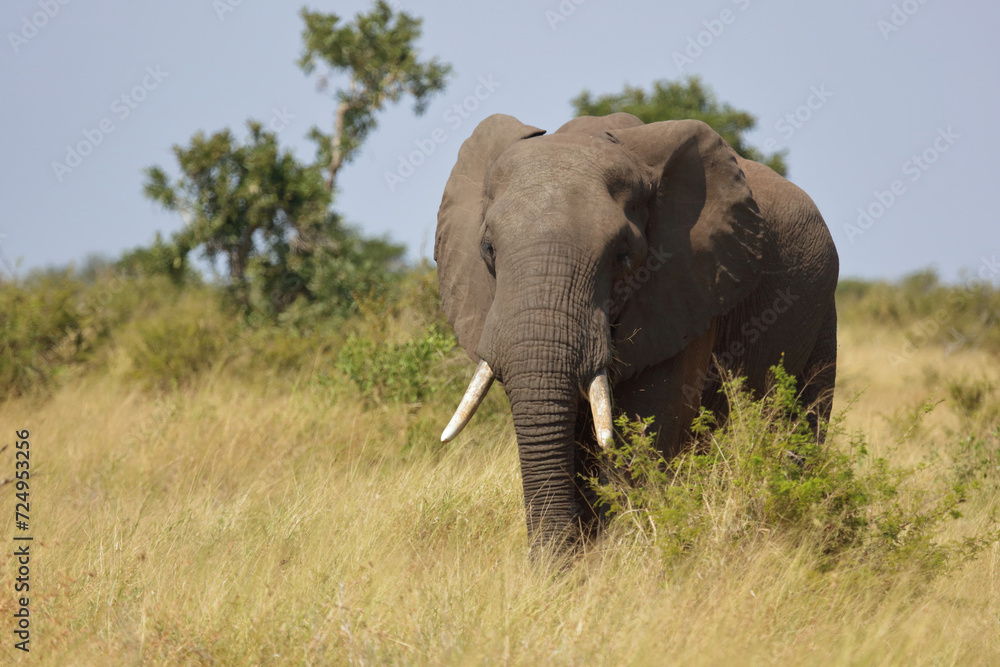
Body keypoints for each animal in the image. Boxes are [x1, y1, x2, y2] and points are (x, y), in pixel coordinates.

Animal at [434, 113, 840, 552]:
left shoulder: (686, 288)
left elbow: (646, 430)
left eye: (623, 255)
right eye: (488, 250)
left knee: (802, 423)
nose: (548, 565)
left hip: (823, 310)